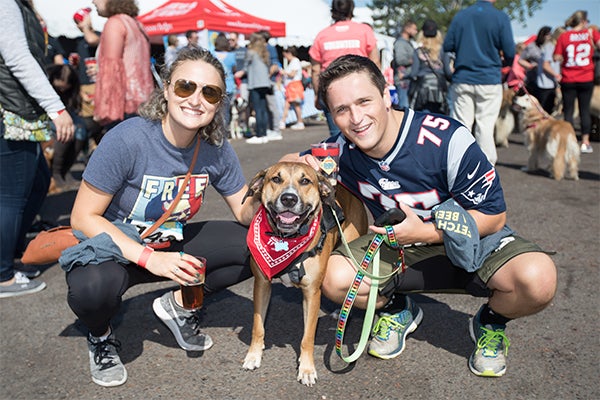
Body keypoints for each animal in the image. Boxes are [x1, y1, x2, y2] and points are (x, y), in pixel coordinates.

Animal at [243, 161, 366, 386]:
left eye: (305, 181)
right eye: (276, 179)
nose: (289, 199)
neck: (286, 238)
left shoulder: (312, 293)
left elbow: (307, 337)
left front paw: (307, 369)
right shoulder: (262, 284)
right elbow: (258, 326)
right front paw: (254, 355)